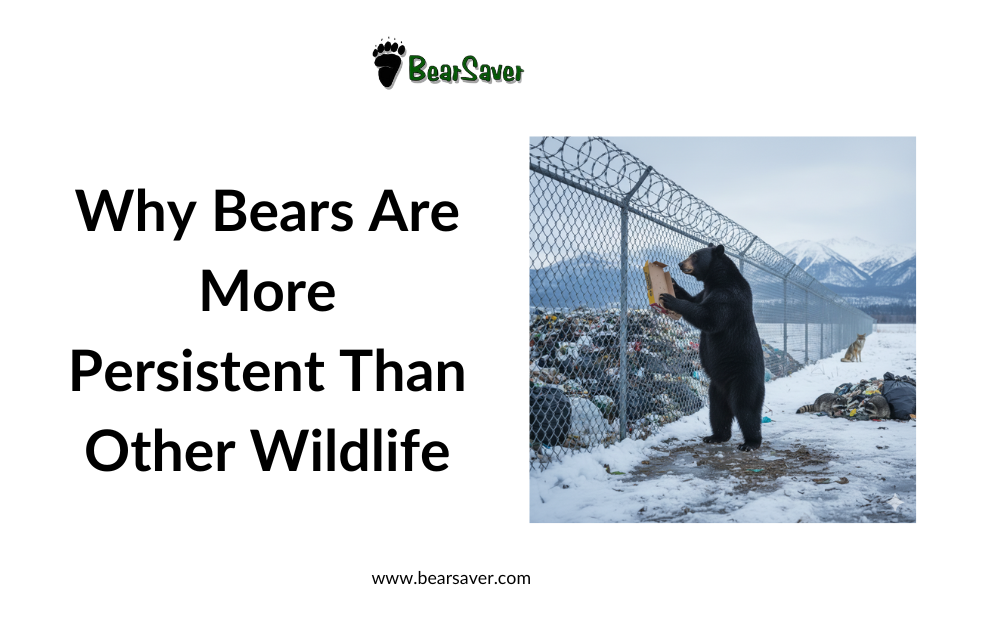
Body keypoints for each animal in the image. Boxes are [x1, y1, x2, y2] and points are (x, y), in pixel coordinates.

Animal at [658, 243, 766, 451]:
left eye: (695, 256)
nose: (681, 264)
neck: (716, 280)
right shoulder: (705, 293)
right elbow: (694, 300)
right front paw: (673, 284)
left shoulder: (729, 297)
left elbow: (708, 316)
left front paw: (669, 298)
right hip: (716, 388)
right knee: (718, 412)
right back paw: (715, 436)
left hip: (745, 378)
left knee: (746, 409)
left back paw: (750, 442)